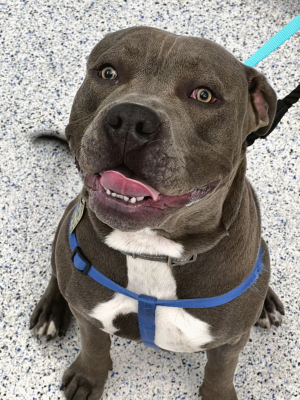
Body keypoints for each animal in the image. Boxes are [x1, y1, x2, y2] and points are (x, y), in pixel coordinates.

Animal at [30, 26, 286, 398]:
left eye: (204, 95)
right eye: (108, 72)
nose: (131, 119)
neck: (150, 248)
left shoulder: (230, 341)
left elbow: (220, 372)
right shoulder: (88, 314)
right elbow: (94, 346)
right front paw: (88, 376)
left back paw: (267, 303)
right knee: (56, 269)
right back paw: (50, 310)